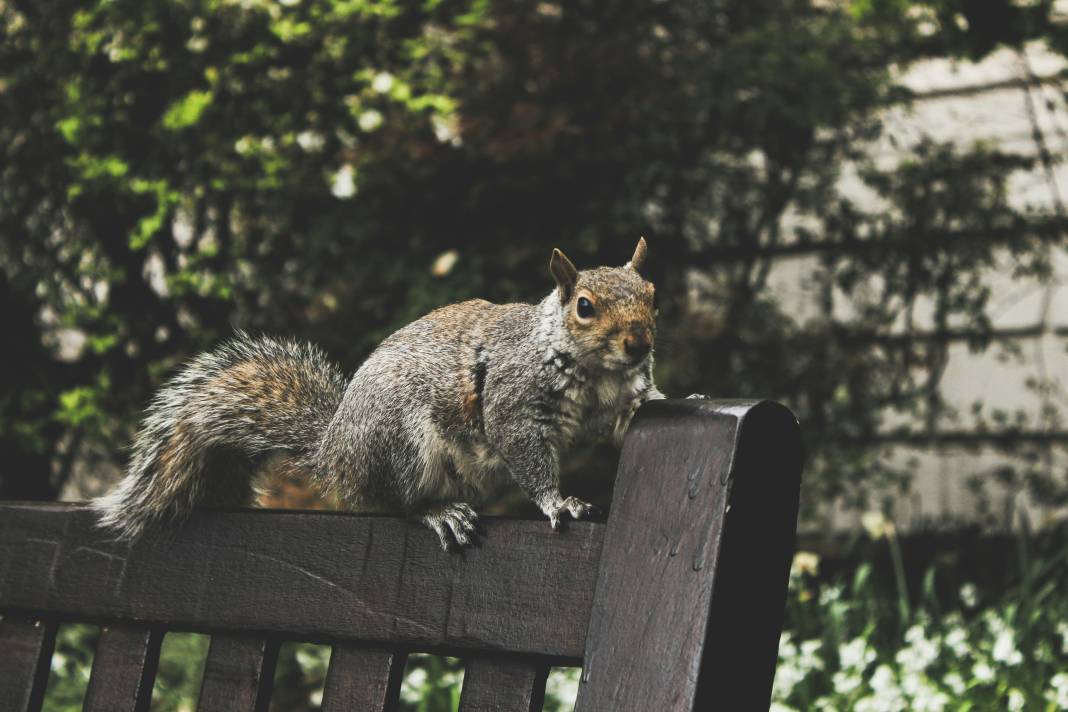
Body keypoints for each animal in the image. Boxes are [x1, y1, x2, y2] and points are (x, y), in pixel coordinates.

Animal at [91, 236, 662, 550]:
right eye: (584, 307)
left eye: (653, 295)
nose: (639, 343)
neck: (597, 372)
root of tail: (333, 453)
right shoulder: (513, 400)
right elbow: (526, 453)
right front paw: (556, 501)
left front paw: (655, 403)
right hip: (402, 444)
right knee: (394, 502)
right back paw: (438, 512)